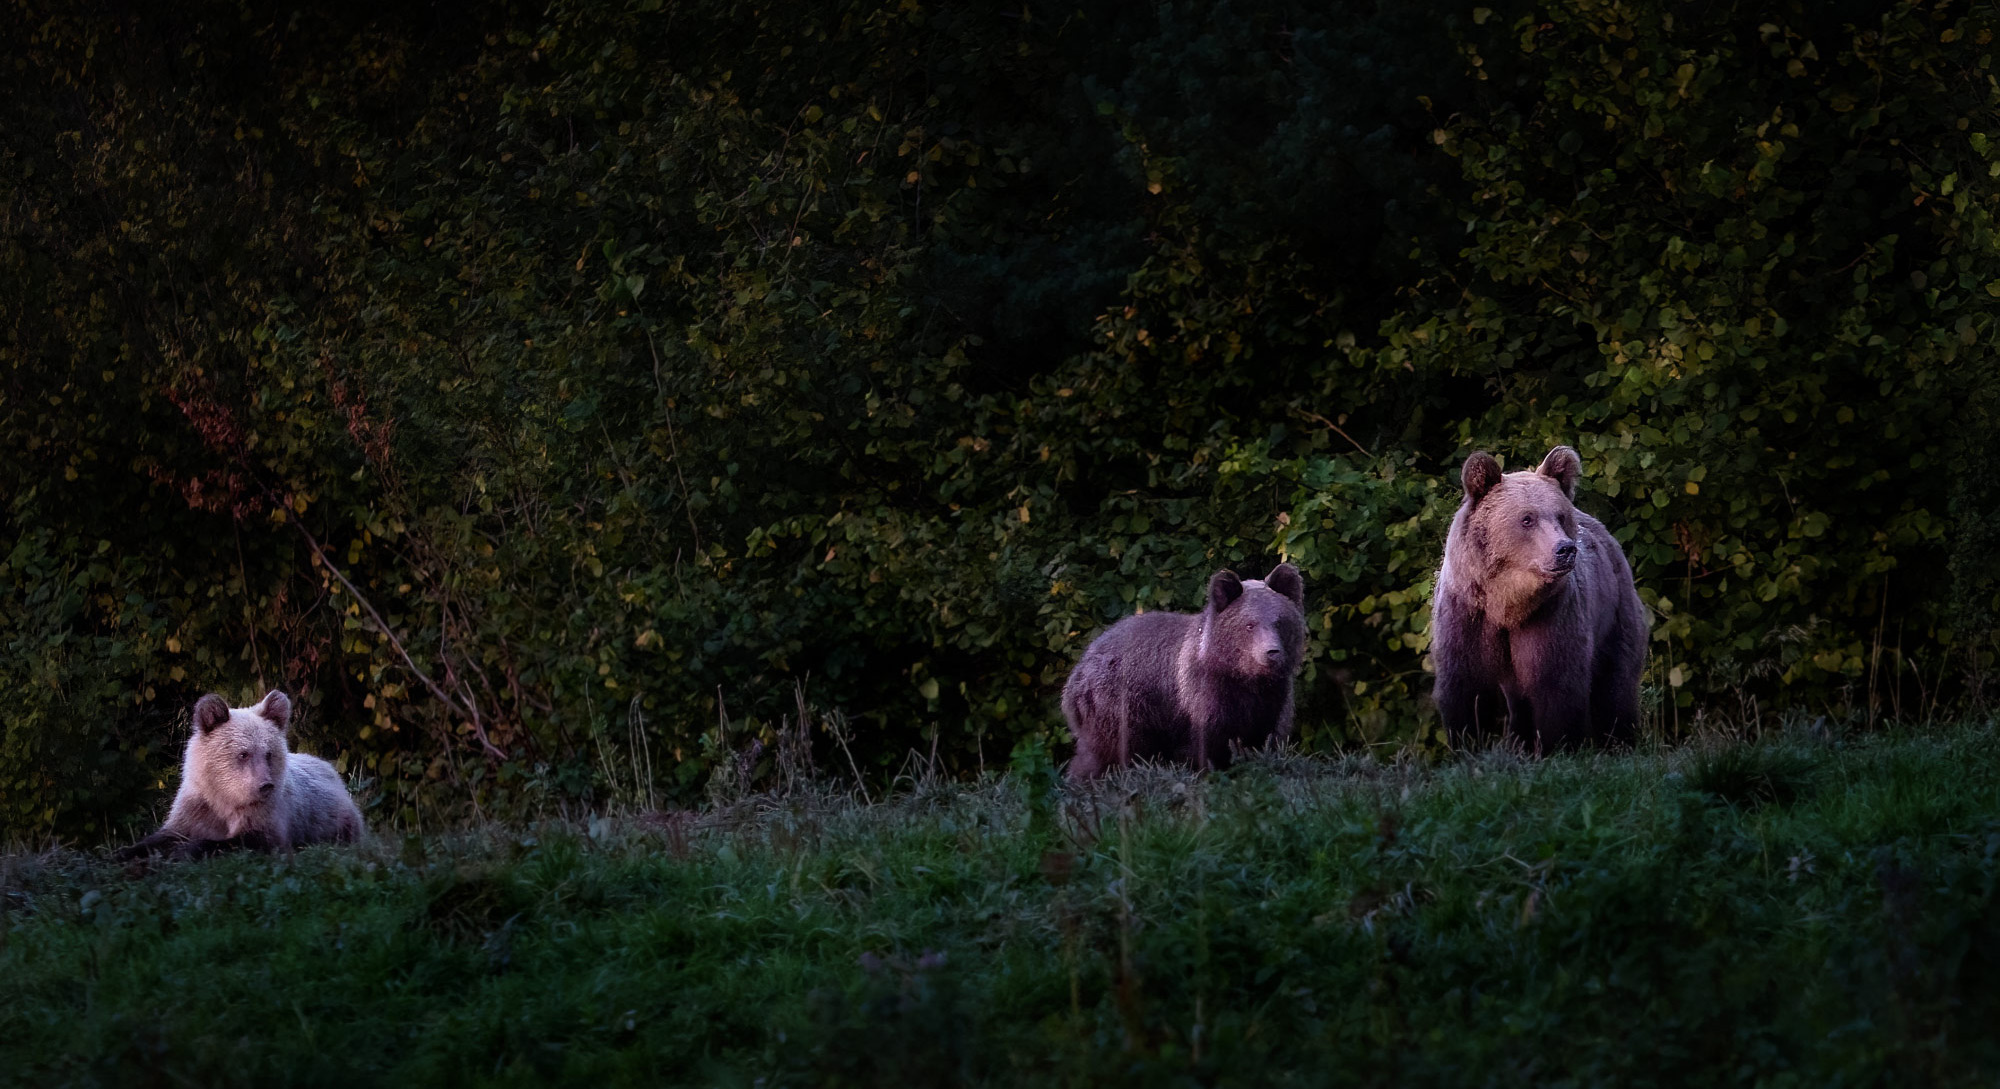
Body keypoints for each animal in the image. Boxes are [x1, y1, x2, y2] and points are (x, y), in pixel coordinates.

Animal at [1432, 446, 1648, 752]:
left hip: (1616, 613)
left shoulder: (1551, 616)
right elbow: (1465, 688)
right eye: (1527, 518)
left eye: (1560, 515)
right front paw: (1467, 744)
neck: (1507, 604)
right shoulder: (1466, 614)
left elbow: (1556, 684)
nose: (1565, 549)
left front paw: (1560, 746)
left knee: (1615, 684)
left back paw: (1620, 741)